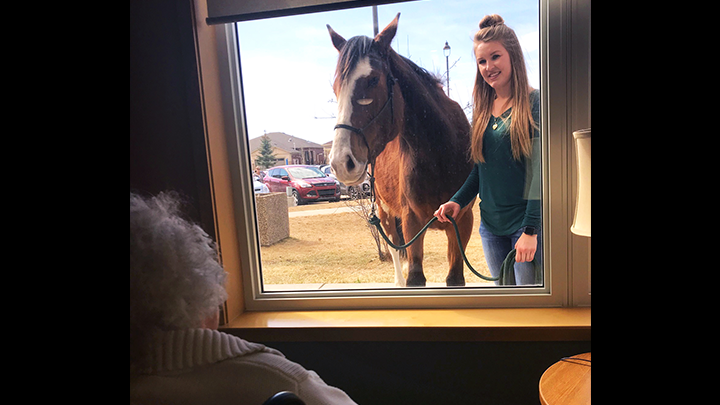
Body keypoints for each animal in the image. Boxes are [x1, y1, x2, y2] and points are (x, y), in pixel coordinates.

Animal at [324, 13, 472, 288]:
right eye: (336, 86)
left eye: (373, 80)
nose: (341, 163)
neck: (441, 154)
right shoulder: (411, 223)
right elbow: (414, 274)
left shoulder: (462, 223)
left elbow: (455, 276)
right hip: (384, 213)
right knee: (394, 249)